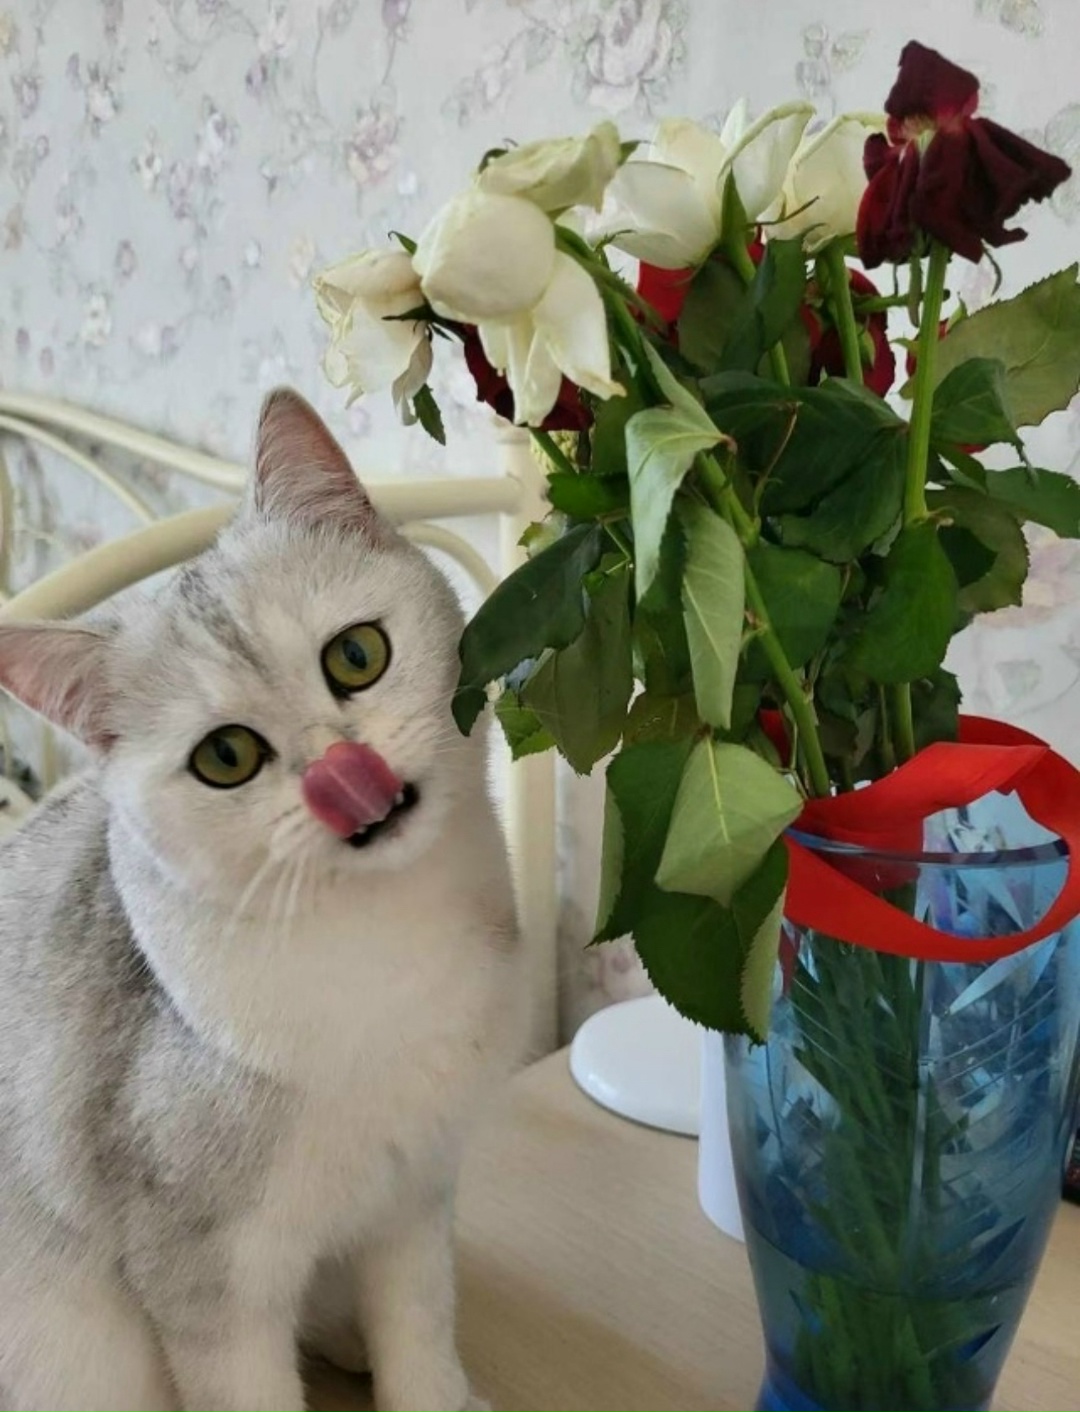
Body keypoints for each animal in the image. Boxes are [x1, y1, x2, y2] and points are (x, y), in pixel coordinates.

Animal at [0, 389, 524, 1412]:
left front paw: (429, 1387)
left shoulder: (412, 1196)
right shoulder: (209, 1281)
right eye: (227, 757)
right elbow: (247, 1383)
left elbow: (420, 1333)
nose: (343, 775)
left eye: (357, 655)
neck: (380, 948)